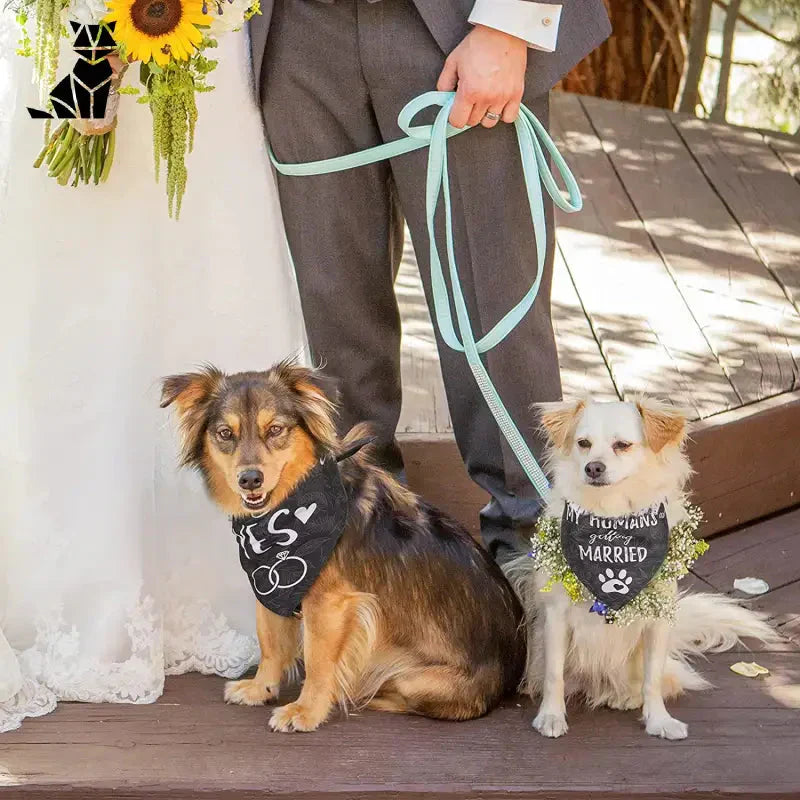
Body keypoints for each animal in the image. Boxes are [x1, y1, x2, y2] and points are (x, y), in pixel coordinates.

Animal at [161, 360, 524, 732]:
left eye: (276, 430)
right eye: (224, 434)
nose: (250, 479)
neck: (283, 516)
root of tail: (510, 680)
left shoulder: (328, 603)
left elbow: (319, 662)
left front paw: (306, 710)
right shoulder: (270, 583)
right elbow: (270, 641)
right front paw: (261, 688)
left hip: (415, 679)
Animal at [510, 400, 780, 744]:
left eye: (622, 445)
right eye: (583, 444)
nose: (593, 467)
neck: (610, 520)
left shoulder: (658, 620)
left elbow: (652, 678)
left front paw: (659, 720)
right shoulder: (556, 615)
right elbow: (553, 674)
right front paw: (551, 716)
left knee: (660, 680)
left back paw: (624, 696)